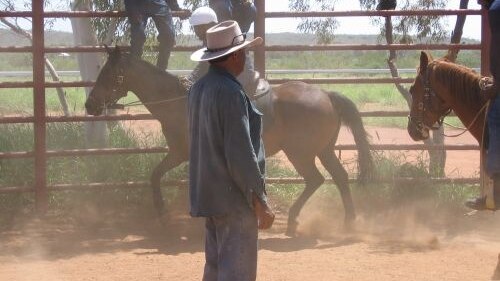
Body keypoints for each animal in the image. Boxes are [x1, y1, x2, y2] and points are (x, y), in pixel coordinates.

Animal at [85, 47, 372, 234]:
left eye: (107, 74)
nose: (90, 105)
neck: (178, 102)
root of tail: (326, 94)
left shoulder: (185, 154)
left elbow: (162, 177)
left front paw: (167, 215)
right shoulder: (180, 153)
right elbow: (156, 175)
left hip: (301, 154)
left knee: (316, 180)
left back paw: (293, 221)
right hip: (324, 150)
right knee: (340, 178)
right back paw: (348, 222)